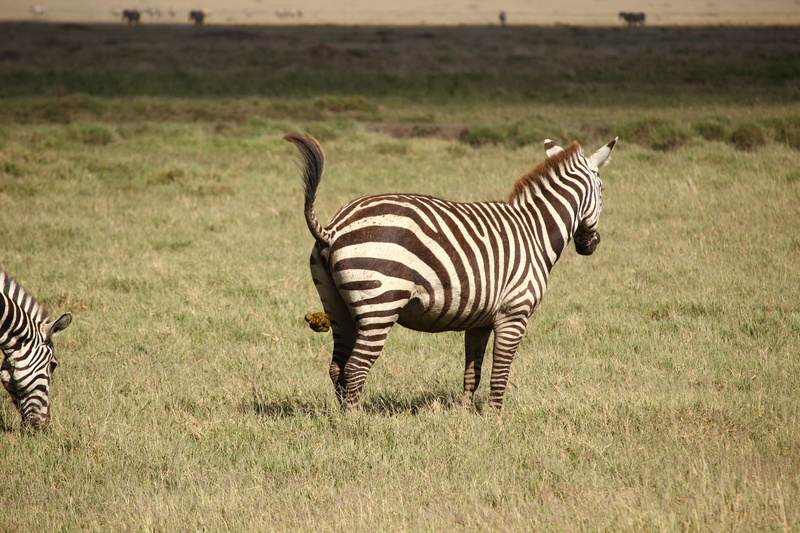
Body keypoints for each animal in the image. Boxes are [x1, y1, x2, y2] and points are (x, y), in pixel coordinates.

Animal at [285, 132, 617, 411]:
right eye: (603, 189)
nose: (593, 245)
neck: (534, 231)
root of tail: (333, 228)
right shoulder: (514, 314)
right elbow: (500, 373)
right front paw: (495, 420)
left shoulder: (480, 320)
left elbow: (473, 372)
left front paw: (466, 415)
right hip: (380, 304)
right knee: (355, 369)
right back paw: (357, 423)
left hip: (337, 305)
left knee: (337, 368)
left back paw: (341, 417)